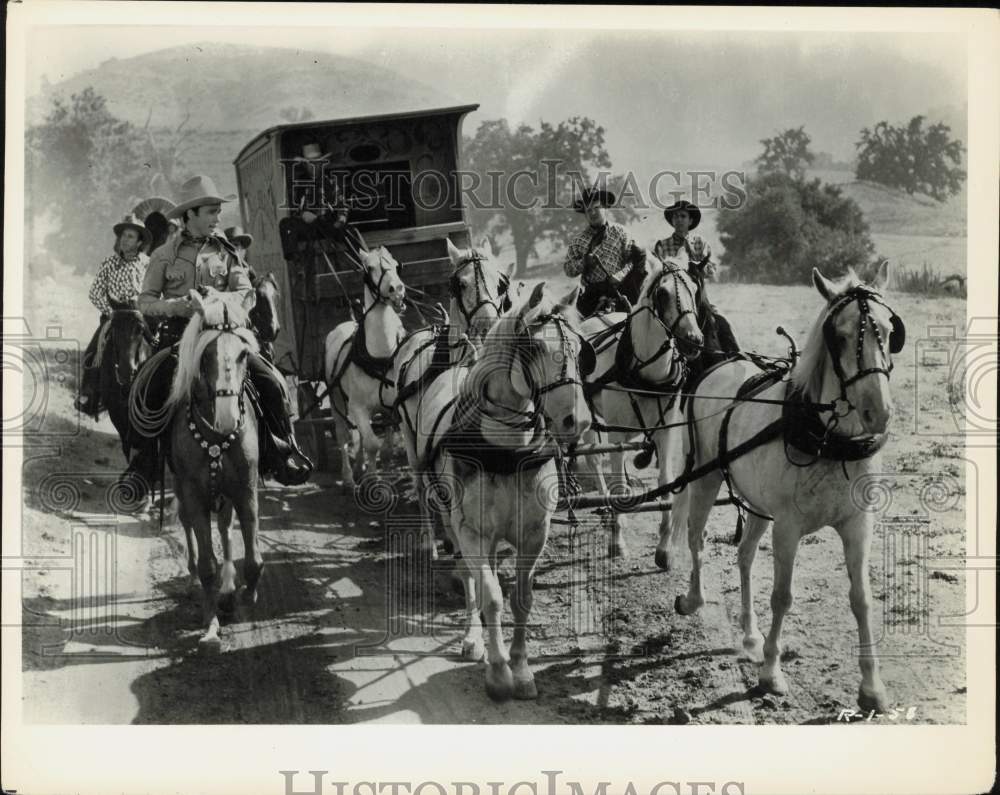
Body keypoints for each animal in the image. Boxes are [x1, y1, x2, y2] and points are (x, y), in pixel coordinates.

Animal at [164, 286, 260, 652]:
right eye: (206, 356)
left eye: (243, 355)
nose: (228, 419)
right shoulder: (193, 493)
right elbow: (207, 564)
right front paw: (210, 626)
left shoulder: (246, 489)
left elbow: (254, 559)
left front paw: (242, 594)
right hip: (183, 489)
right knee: (189, 525)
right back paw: (194, 578)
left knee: (224, 526)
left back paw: (230, 587)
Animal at [324, 246, 410, 488]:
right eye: (370, 268)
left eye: (395, 263)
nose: (397, 289)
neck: (381, 356)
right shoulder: (359, 407)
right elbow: (373, 444)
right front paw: (374, 480)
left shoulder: (391, 406)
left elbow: (385, 444)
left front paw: (382, 468)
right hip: (337, 401)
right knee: (343, 435)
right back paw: (348, 477)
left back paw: (360, 466)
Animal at [412, 282, 592, 700]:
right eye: (535, 347)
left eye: (580, 347)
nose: (577, 421)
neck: (505, 450)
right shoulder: (472, 532)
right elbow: (492, 597)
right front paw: (498, 672)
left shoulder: (533, 534)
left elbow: (521, 599)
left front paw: (522, 670)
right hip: (452, 520)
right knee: (470, 575)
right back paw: (472, 638)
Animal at [576, 258, 708, 556]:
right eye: (663, 294)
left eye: (695, 288)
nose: (693, 339)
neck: (646, 373)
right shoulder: (616, 435)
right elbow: (618, 485)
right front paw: (617, 539)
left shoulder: (667, 430)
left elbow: (666, 482)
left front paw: (664, 545)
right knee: (594, 458)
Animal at [668, 262, 904, 716]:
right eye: (839, 336)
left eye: (888, 330)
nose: (878, 411)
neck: (829, 440)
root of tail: (721, 362)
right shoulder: (789, 527)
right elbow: (782, 596)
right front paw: (771, 673)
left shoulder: (857, 524)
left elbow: (861, 598)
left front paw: (872, 688)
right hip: (706, 478)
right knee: (696, 538)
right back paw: (693, 598)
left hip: (759, 506)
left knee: (744, 556)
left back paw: (749, 634)